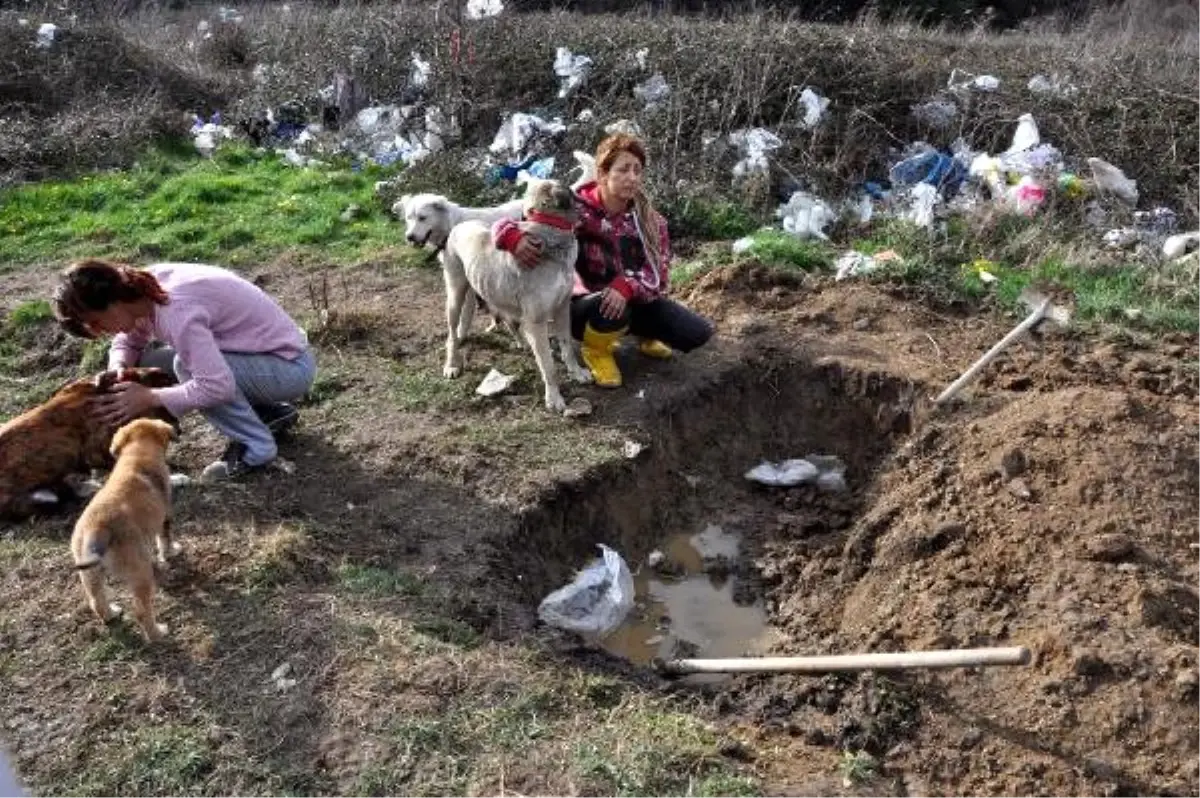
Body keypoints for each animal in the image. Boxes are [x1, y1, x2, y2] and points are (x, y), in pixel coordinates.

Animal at [69, 417, 177, 643]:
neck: (136, 455)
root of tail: (97, 528)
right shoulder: (165, 517)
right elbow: (164, 540)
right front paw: (171, 552)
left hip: (90, 574)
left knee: (96, 601)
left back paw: (112, 615)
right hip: (139, 573)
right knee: (142, 611)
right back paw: (158, 634)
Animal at [439, 177, 592, 412]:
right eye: (570, 190)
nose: (585, 198)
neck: (548, 229)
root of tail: (458, 226)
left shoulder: (562, 308)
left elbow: (567, 348)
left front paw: (577, 373)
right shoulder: (537, 321)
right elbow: (548, 366)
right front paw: (554, 398)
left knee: (509, 321)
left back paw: (523, 342)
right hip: (455, 295)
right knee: (452, 335)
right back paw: (451, 365)